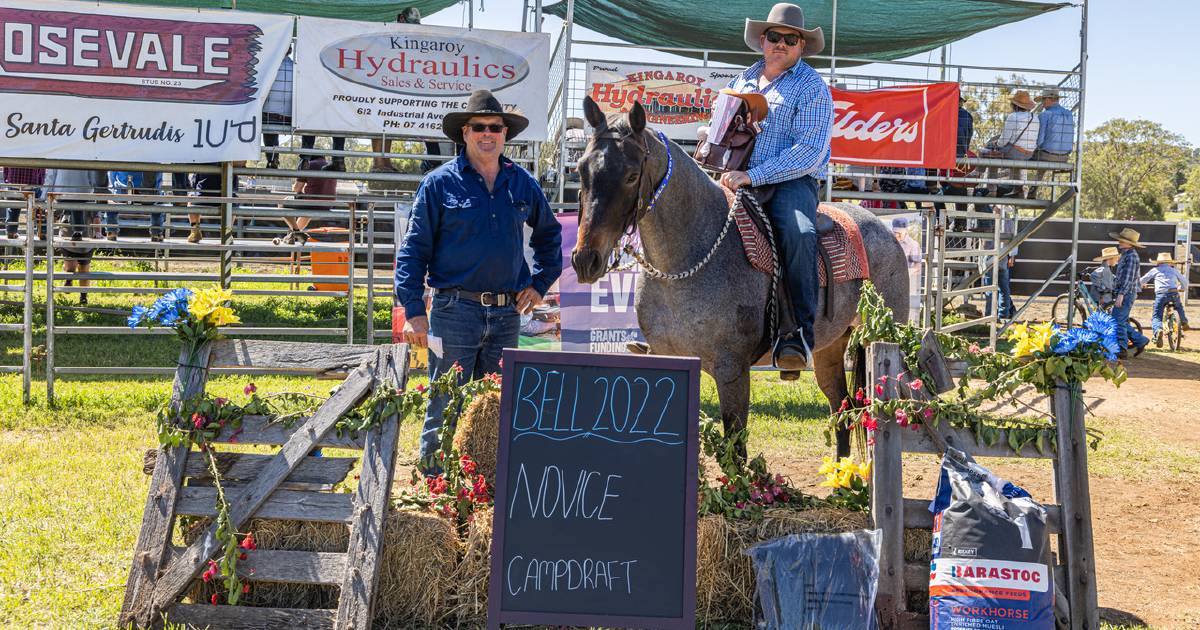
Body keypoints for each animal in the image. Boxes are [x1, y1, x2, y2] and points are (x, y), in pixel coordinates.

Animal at [571, 97, 907, 456]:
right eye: (581, 169)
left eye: (632, 175)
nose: (585, 259)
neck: (686, 263)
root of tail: (884, 229)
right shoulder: (669, 359)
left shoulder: (731, 370)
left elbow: (735, 448)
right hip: (830, 347)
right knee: (841, 407)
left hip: (883, 341)